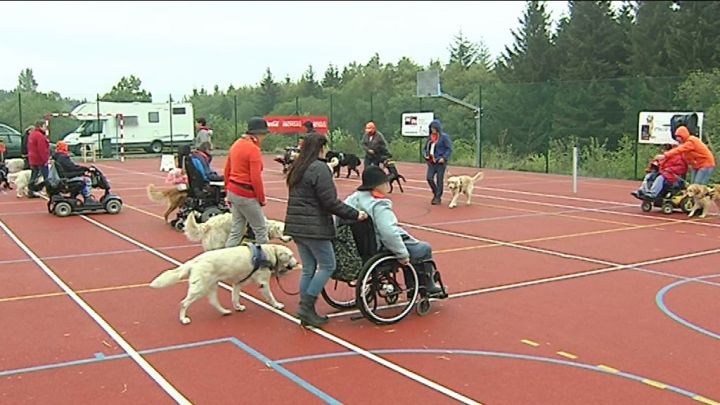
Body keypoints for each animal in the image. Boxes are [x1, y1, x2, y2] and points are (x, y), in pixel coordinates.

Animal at [150, 241, 300, 324]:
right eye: (291, 255)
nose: (296, 263)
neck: (268, 253)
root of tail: (195, 261)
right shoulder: (263, 283)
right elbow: (271, 296)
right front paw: (277, 305)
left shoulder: (237, 284)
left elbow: (235, 298)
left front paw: (238, 307)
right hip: (200, 288)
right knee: (184, 303)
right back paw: (183, 319)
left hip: (211, 286)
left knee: (213, 302)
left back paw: (224, 311)